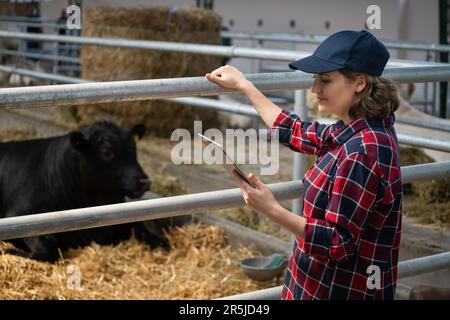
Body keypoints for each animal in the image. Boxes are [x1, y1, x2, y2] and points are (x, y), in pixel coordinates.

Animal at [0, 121, 167, 262]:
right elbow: (49, 249)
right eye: (106, 151)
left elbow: (155, 237)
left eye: (133, 148)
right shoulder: (21, 217)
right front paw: (11, 252)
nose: (144, 181)